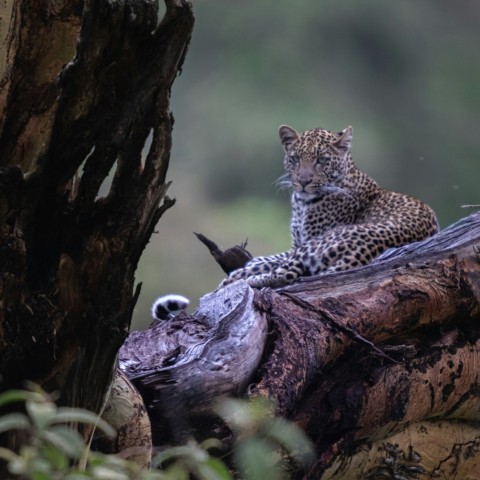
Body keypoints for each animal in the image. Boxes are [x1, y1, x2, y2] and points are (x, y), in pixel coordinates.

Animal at [221, 124, 438, 288]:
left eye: (322, 160)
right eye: (295, 159)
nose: (303, 181)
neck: (301, 204)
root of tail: (366, 250)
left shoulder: (306, 242)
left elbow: (275, 260)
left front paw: (243, 270)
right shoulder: (297, 243)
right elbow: (273, 256)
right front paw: (252, 261)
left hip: (318, 243)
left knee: (286, 274)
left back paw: (240, 280)